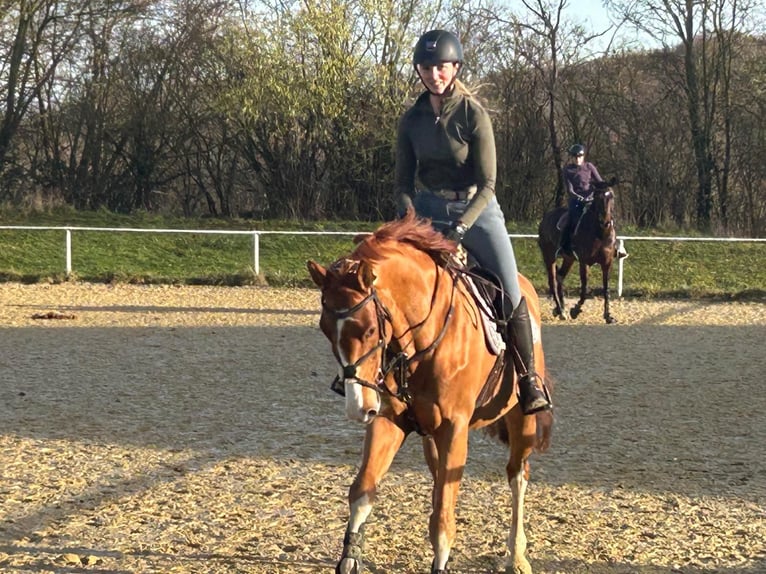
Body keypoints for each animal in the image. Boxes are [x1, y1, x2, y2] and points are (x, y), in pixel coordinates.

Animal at [307, 211, 553, 574]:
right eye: (324, 330)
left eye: (369, 329)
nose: (357, 407)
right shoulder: (387, 421)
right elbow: (363, 489)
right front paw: (350, 557)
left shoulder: (453, 428)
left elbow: (441, 518)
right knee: (441, 477)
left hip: (521, 419)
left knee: (517, 476)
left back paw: (517, 556)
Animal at [537, 178, 622, 324]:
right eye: (597, 197)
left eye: (611, 196)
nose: (605, 222)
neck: (600, 234)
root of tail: (545, 218)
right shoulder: (584, 262)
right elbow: (584, 288)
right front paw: (575, 310)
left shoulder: (607, 263)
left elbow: (606, 289)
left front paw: (608, 316)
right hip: (549, 256)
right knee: (552, 281)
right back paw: (560, 310)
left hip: (569, 258)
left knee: (560, 276)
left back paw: (561, 309)